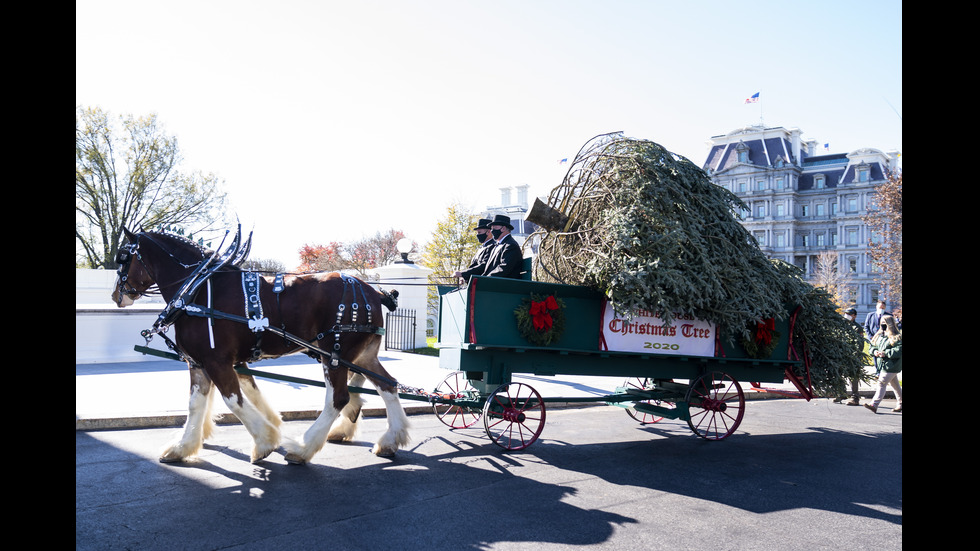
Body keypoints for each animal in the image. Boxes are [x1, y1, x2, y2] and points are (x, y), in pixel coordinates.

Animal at [112, 229, 410, 466]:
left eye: (123, 257)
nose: (117, 294)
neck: (197, 288)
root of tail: (374, 292)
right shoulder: (201, 362)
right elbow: (199, 403)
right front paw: (182, 447)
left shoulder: (217, 361)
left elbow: (233, 401)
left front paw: (265, 441)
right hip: (362, 356)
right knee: (388, 385)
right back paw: (391, 439)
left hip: (335, 354)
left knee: (338, 398)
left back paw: (303, 448)